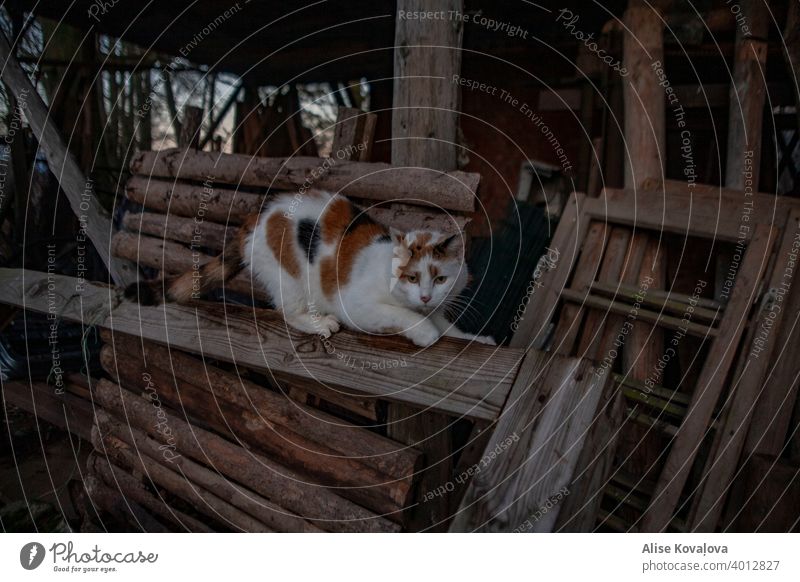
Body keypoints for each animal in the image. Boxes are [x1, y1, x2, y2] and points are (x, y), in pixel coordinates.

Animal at [126, 189, 494, 350]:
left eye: (441, 278)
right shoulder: (357, 304)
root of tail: (257, 216)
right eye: (411, 277)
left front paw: (475, 339)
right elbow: (407, 317)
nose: (426, 296)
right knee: (288, 312)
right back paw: (319, 323)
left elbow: (448, 327)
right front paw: (426, 333)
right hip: (288, 275)